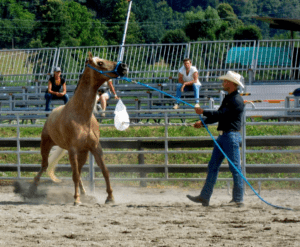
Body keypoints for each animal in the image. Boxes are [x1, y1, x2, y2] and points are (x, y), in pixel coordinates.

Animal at [31, 52, 127, 205]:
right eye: (100, 63)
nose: (123, 66)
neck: (81, 116)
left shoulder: (95, 148)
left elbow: (104, 171)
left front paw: (110, 197)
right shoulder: (73, 150)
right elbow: (75, 175)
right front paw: (76, 199)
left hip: (83, 153)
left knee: (79, 171)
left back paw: (84, 192)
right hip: (45, 145)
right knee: (45, 166)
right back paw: (32, 189)